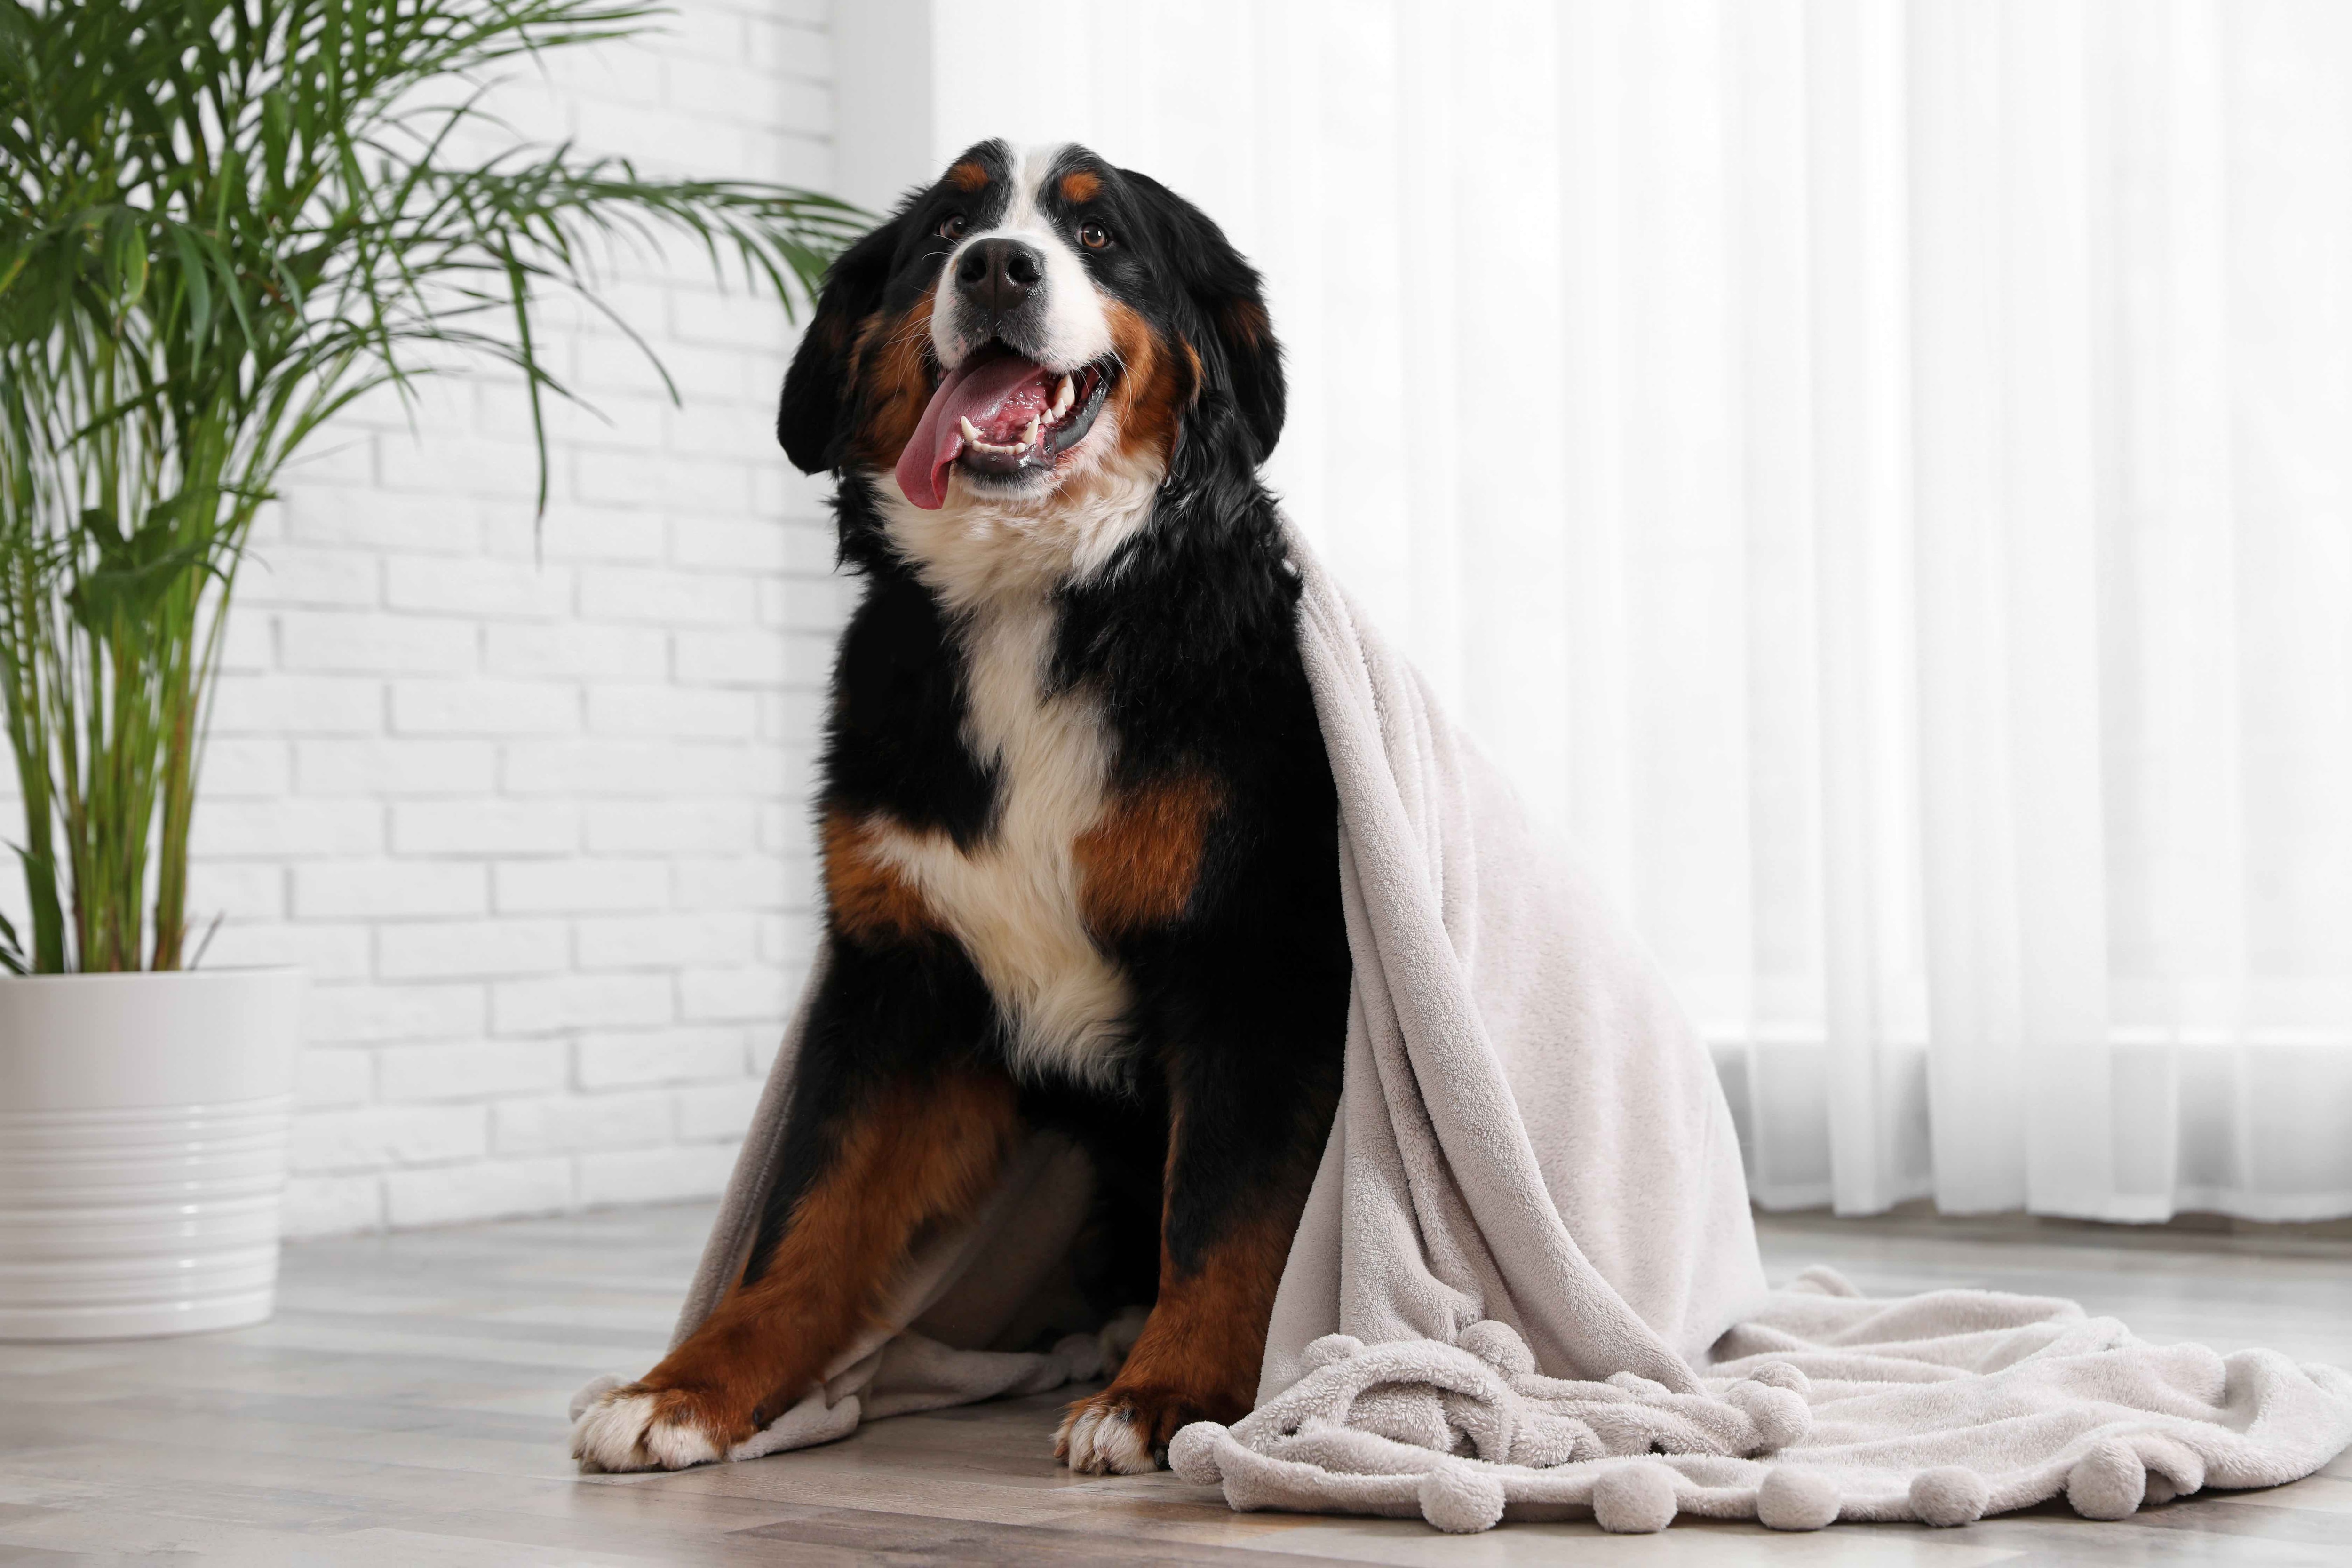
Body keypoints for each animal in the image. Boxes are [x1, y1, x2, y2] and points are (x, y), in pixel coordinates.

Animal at [567, 141, 1345, 1476]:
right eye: (944, 229)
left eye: (1099, 236)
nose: (996, 267)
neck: (1035, 598)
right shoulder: (902, 972)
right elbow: (807, 1217)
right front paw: (686, 1387)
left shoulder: (1258, 961)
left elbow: (1229, 1209)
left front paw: (1170, 1393)